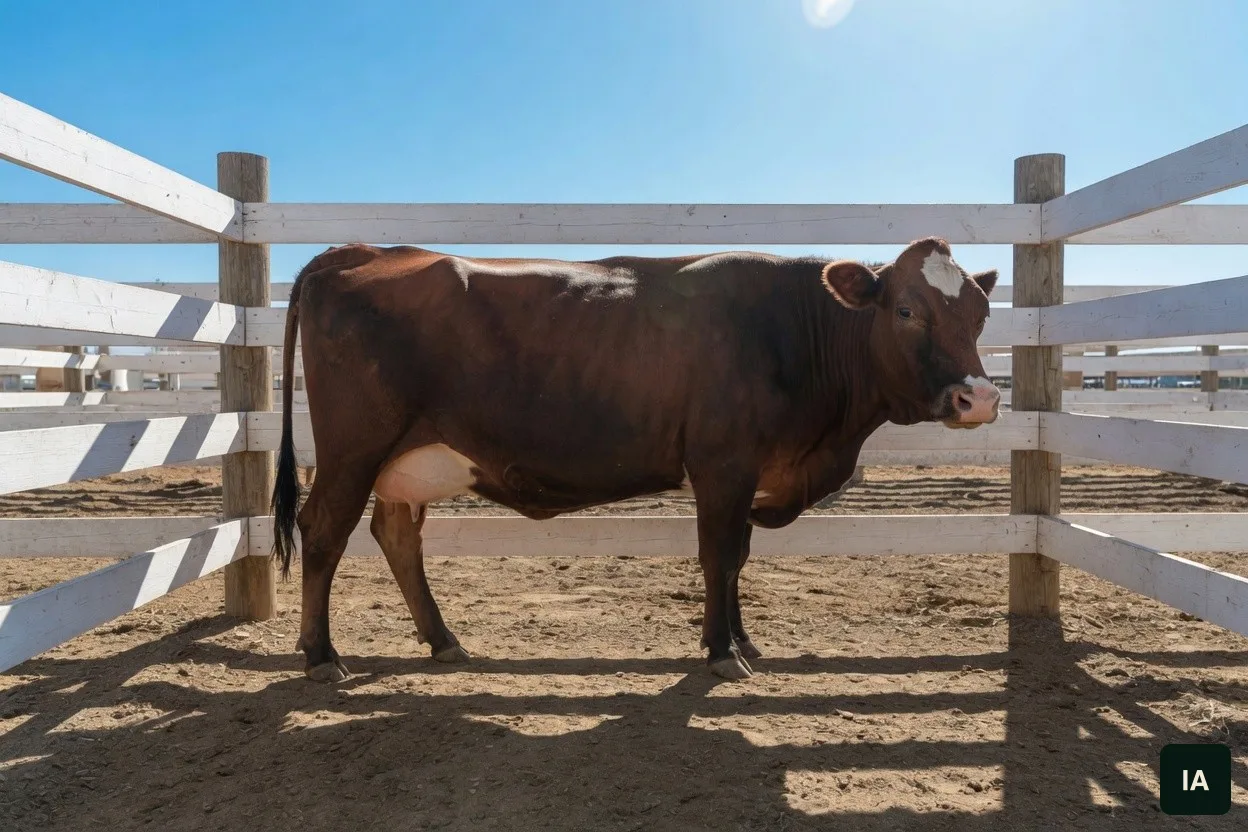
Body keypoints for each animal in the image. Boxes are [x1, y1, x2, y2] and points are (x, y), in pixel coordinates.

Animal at [270, 236, 1001, 682]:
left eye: (981, 313)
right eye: (905, 309)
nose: (980, 398)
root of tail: (361, 252)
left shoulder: (747, 477)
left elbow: (737, 558)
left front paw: (742, 642)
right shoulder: (723, 465)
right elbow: (718, 556)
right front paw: (720, 652)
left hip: (409, 461)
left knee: (395, 534)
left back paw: (444, 641)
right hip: (353, 448)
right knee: (324, 531)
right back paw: (321, 654)